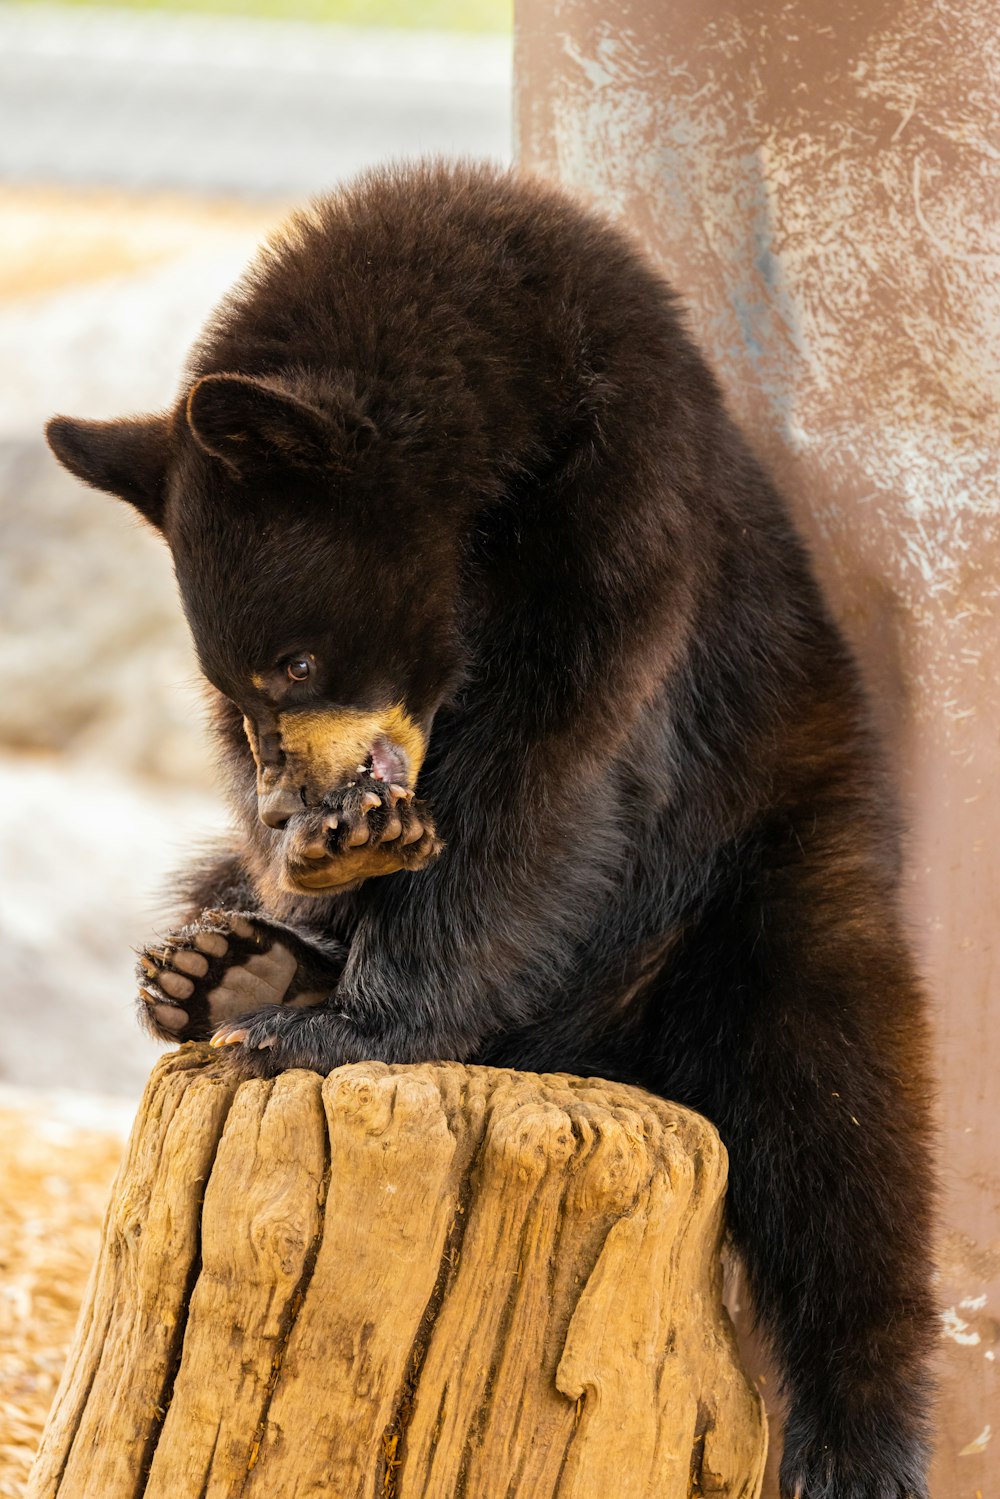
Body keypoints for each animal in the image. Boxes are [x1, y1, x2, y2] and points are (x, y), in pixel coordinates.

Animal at [48, 161, 941, 1499]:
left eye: (297, 657)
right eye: (239, 685)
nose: (293, 809)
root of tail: (595, 1053)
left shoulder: (629, 506)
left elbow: (549, 770)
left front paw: (351, 1024)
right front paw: (310, 896)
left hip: (779, 870)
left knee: (837, 1116)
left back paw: (859, 1444)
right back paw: (222, 964)